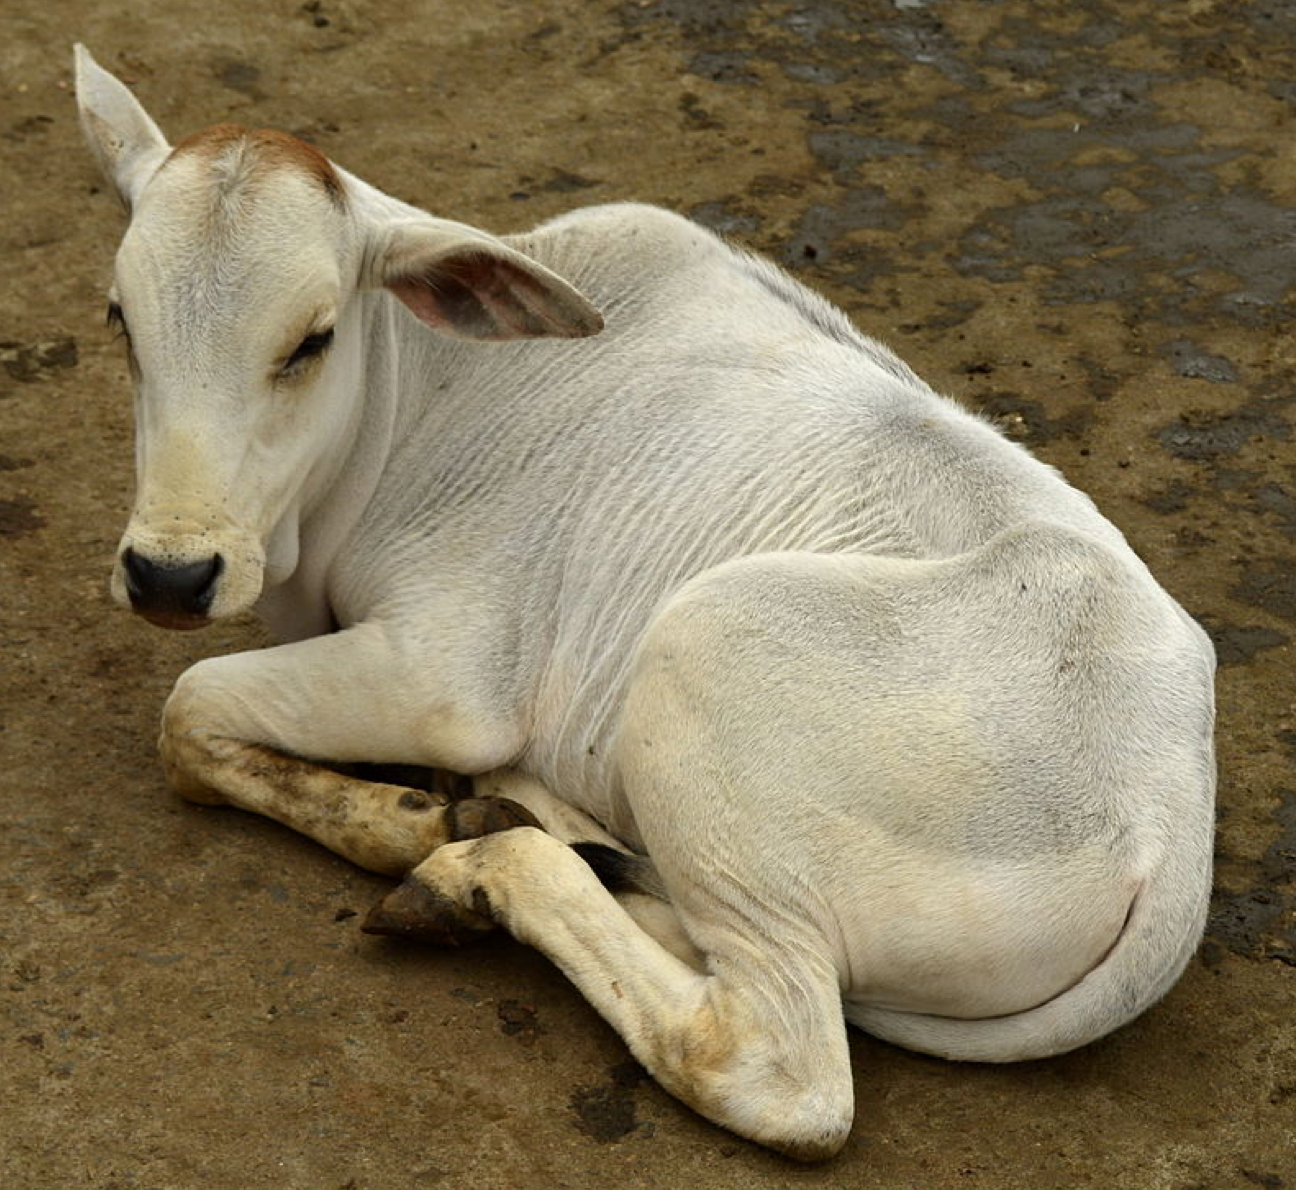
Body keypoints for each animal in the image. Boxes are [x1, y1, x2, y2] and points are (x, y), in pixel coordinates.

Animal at [78, 46, 1213, 1166]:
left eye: (310, 339)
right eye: (121, 320)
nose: (169, 574)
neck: (423, 392)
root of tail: (1170, 831)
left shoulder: (447, 679)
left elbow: (188, 709)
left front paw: (407, 822)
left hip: (707, 654)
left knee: (778, 1070)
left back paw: (477, 866)